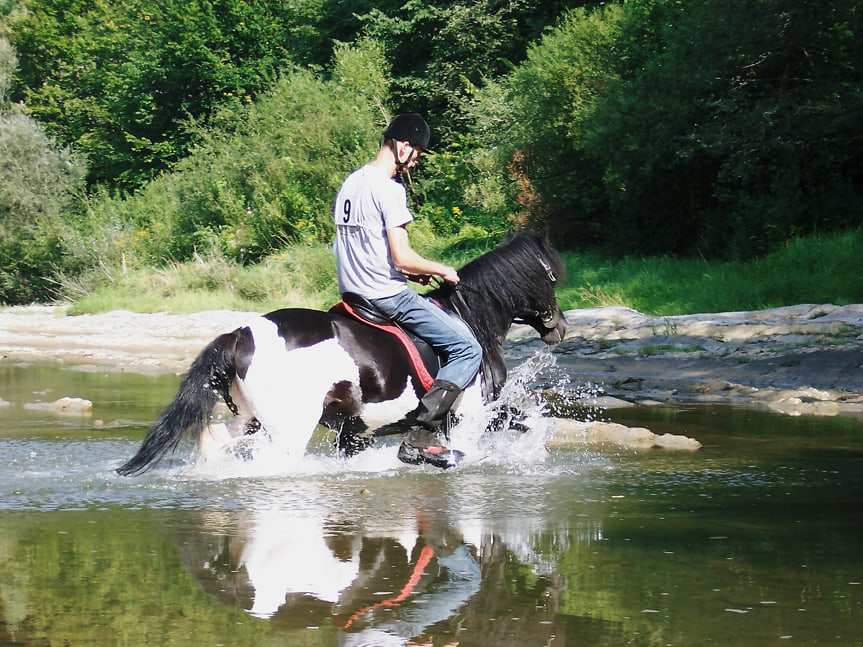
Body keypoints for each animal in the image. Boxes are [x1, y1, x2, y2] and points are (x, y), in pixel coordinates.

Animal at [118, 233, 572, 476]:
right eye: (552, 275)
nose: (560, 328)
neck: (470, 318)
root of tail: (240, 335)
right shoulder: (471, 413)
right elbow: (516, 427)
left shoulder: (358, 433)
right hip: (289, 428)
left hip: (251, 420)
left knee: (213, 439)